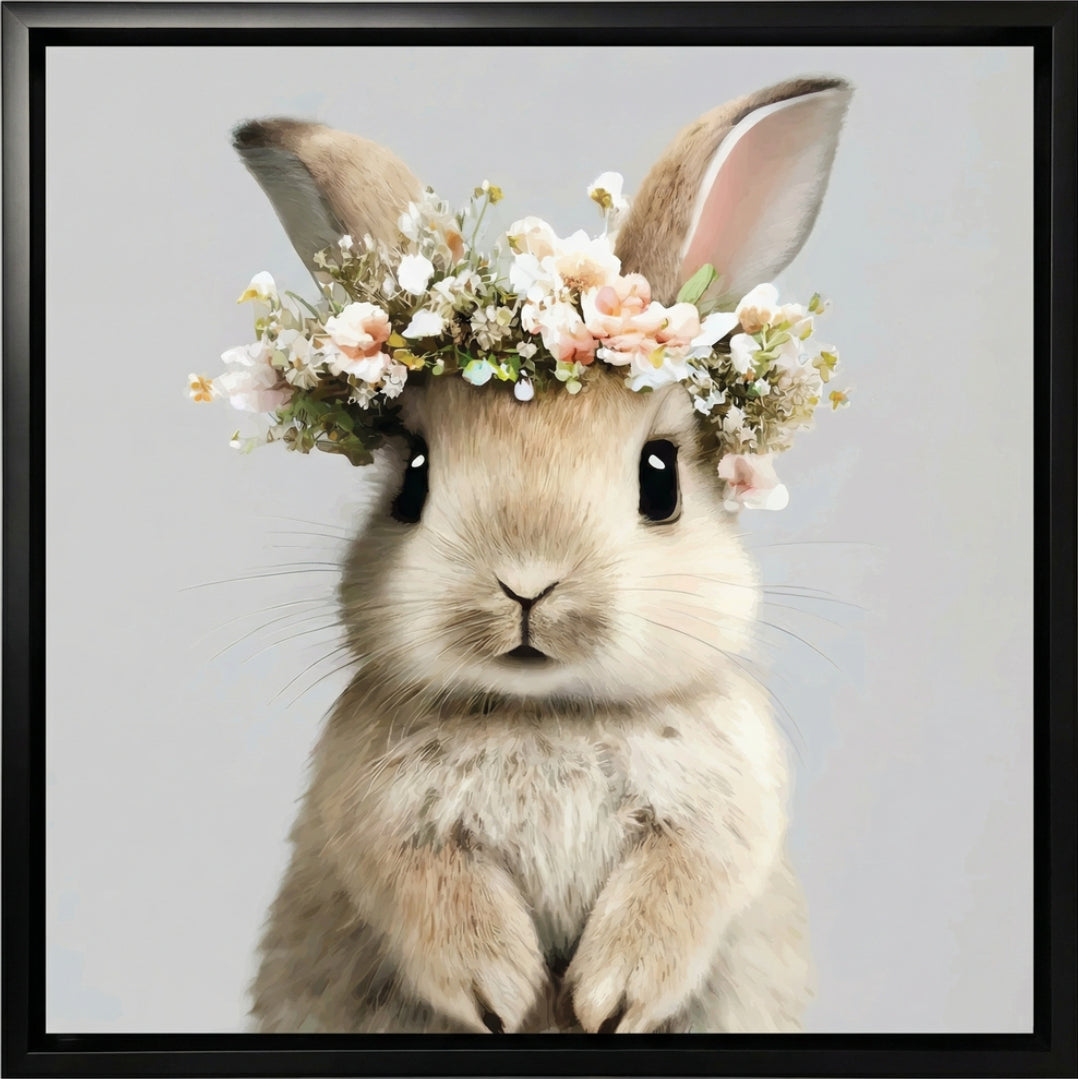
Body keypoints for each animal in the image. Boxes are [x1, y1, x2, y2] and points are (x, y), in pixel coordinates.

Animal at [236, 74, 852, 1035]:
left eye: (660, 480)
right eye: (413, 480)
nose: (526, 584)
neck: (547, 713)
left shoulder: (722, 816)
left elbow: (681, 886)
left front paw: (610, 998)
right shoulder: (379, 823)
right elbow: (429, 891)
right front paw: (503, 994)